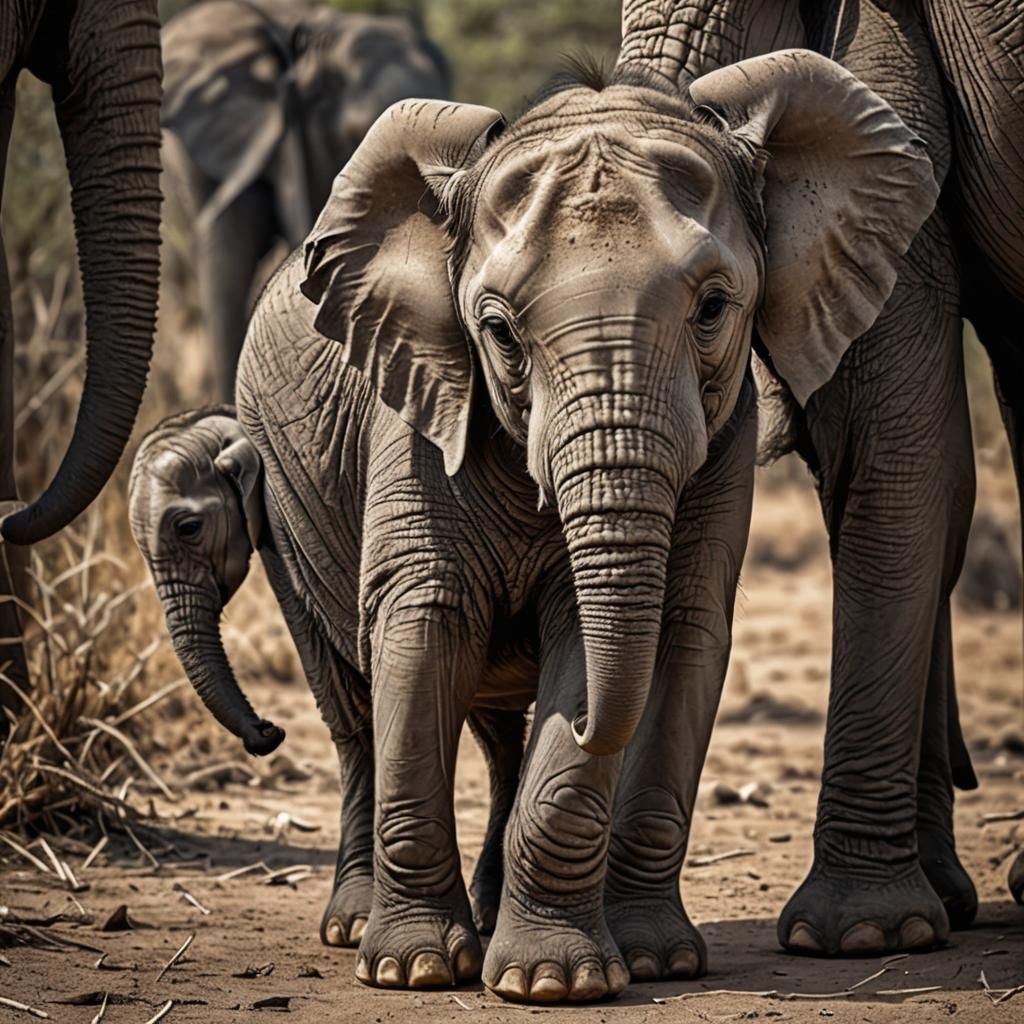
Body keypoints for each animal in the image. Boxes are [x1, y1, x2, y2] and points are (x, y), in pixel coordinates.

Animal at [128, 405, 526, 942]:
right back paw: (490, 909)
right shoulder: (282, 540)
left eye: (188, 527)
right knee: (499, 737)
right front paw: (352, 929)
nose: (269, 732)